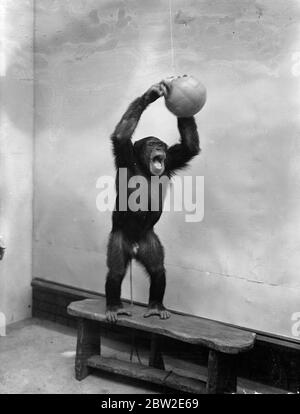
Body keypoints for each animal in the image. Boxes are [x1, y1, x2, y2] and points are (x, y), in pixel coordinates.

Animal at [104, 79, 200, 322]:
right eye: (151, 144)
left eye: (162, 145)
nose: (158, 148)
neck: (145, 167)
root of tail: (135, 247)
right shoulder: (124, 155)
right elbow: (121, 135)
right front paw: (151, 94)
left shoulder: (173, 159)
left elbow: (190, 146)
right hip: (119, 239)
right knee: (116, 272)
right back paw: (114, 306)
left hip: (149, 242)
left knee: (158, 271)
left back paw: (156, 306)